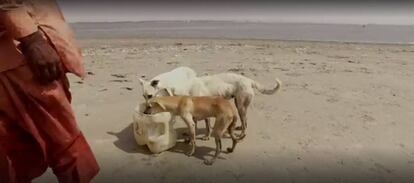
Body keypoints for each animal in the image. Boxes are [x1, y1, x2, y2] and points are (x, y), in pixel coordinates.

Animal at [139, 66, 282, 138]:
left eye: (151, 96)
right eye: (144, 96)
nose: (145, 111)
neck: (186, 87)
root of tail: (249, 80)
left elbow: (206, 126)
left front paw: (205, 136)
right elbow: (200, 124)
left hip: (241, 105)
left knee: (245, 122)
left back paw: (241, 134)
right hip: (238, 104)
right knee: (244, 121)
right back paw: (239, 128)